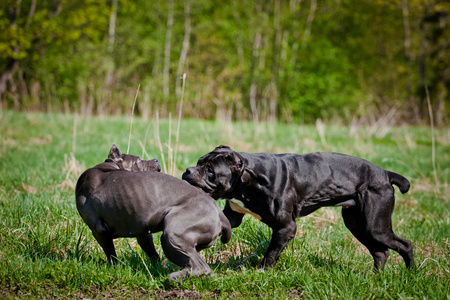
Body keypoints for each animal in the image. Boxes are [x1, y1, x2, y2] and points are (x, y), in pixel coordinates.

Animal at [76, 144, 232, 280]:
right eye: (139, 160)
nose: (156, 159)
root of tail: (220, 213)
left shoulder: (99, 230)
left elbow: (111, 254)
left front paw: (115, 268)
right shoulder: (143, 233)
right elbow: (153, 254)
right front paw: (159, 267)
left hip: (173, 236)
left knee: (202, 267)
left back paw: (173, 278)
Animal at [182, 145, 414, 270]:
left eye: (210, 170)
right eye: (199, 161)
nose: (188, 170)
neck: (248, 180)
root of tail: (385, 174)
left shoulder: (285, 228)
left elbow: (271, 253)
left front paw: (262, 271)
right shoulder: (233, 217)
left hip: (375, 225)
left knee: (404, 245)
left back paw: (411, 273)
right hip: (358, 224)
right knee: (380, 252)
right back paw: (375, 277)